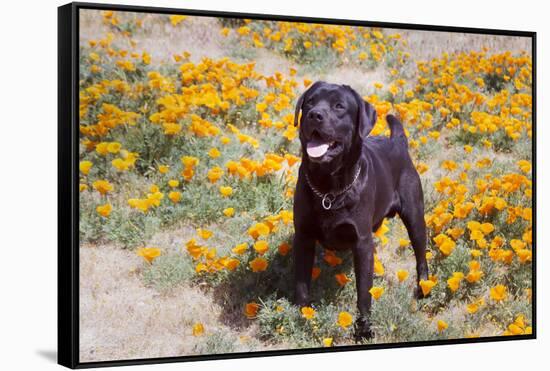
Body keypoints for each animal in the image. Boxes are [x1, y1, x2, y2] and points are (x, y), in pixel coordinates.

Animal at [294, 80, 432, 340]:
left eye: (339, 106)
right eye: (310, 102)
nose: (314, 115)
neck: (328, 188)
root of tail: (397, 141)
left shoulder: (362, 242)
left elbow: (363, 292)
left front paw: (364, 330)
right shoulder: (303, 236)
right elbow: (302, 284)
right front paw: (302, 318)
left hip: (415, 215)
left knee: (421, 255)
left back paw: (424, 288)